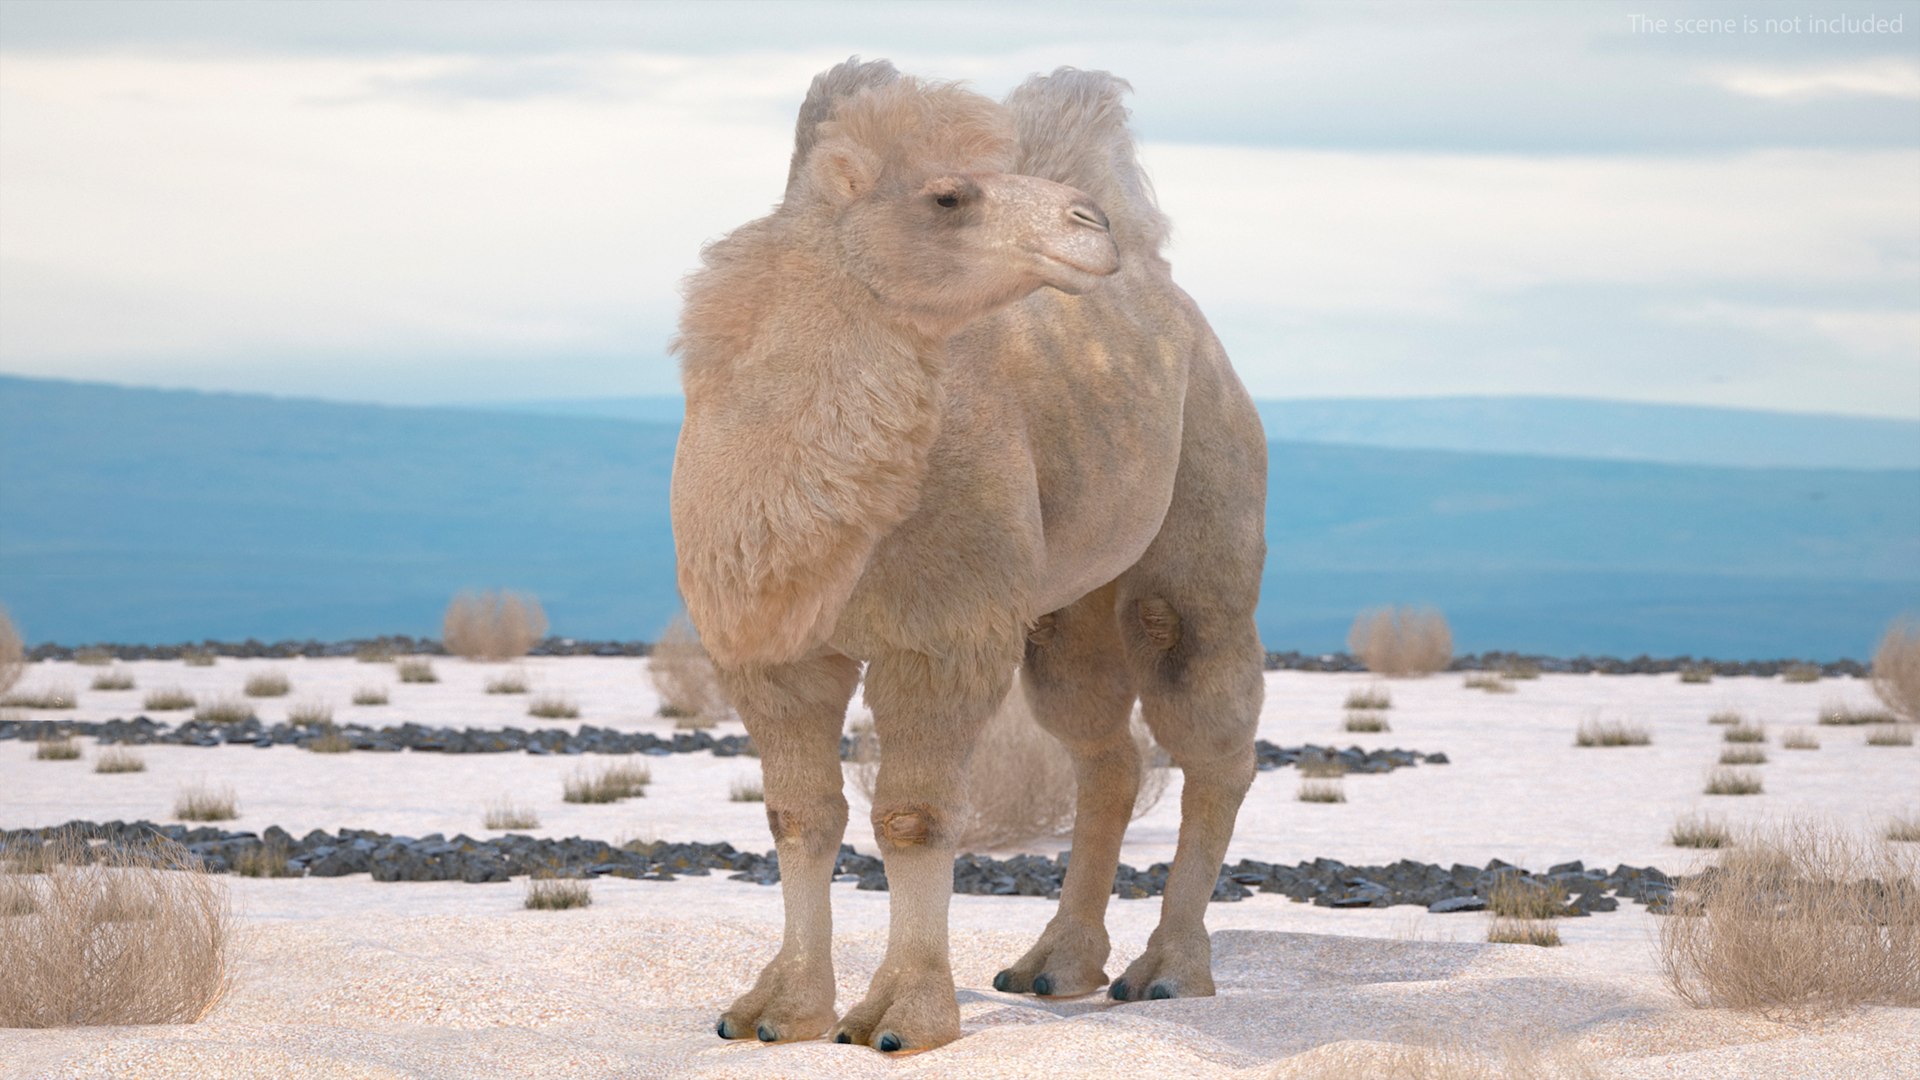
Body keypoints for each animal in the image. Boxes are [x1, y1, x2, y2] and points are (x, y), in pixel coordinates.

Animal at [671, 58, 1267, 1053]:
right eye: (948, 195)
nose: (1090, 224)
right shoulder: (772, 653)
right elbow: (799, 815)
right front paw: (778, 1010)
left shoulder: (937, 634)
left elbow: (911, 816)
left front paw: (901, 1017)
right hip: (1063, 603)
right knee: (1103, 751)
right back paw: (1054, 965)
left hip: (1206, 508)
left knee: (1208, 727)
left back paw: (1169, 972)